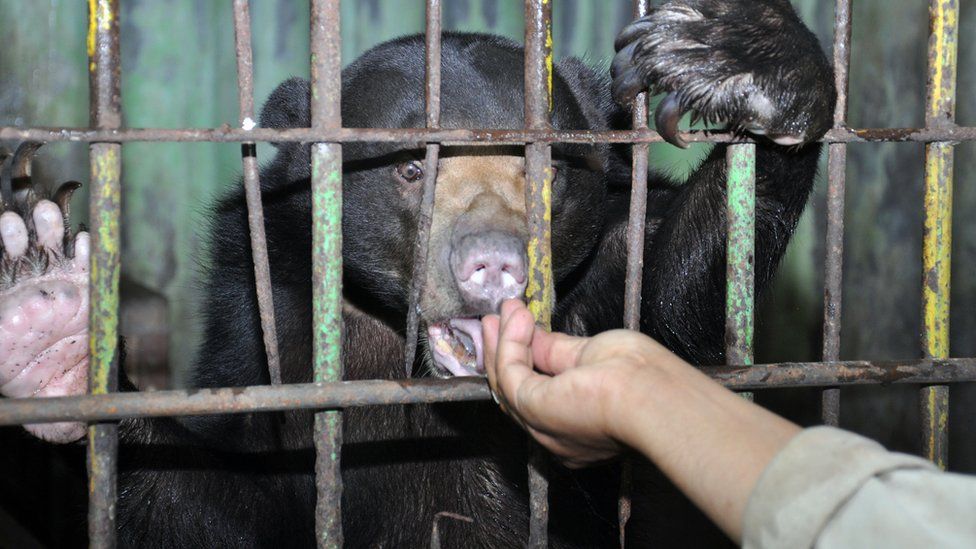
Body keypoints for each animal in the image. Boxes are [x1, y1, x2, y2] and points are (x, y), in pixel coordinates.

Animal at [1, 2, 832, 544]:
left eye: (545, 170)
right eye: (409, 169)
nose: (494, 263)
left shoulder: (618, 255)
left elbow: (675, 300)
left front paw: (752, 63)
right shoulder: (265, 313)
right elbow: (192, 498)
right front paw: (52, 333)